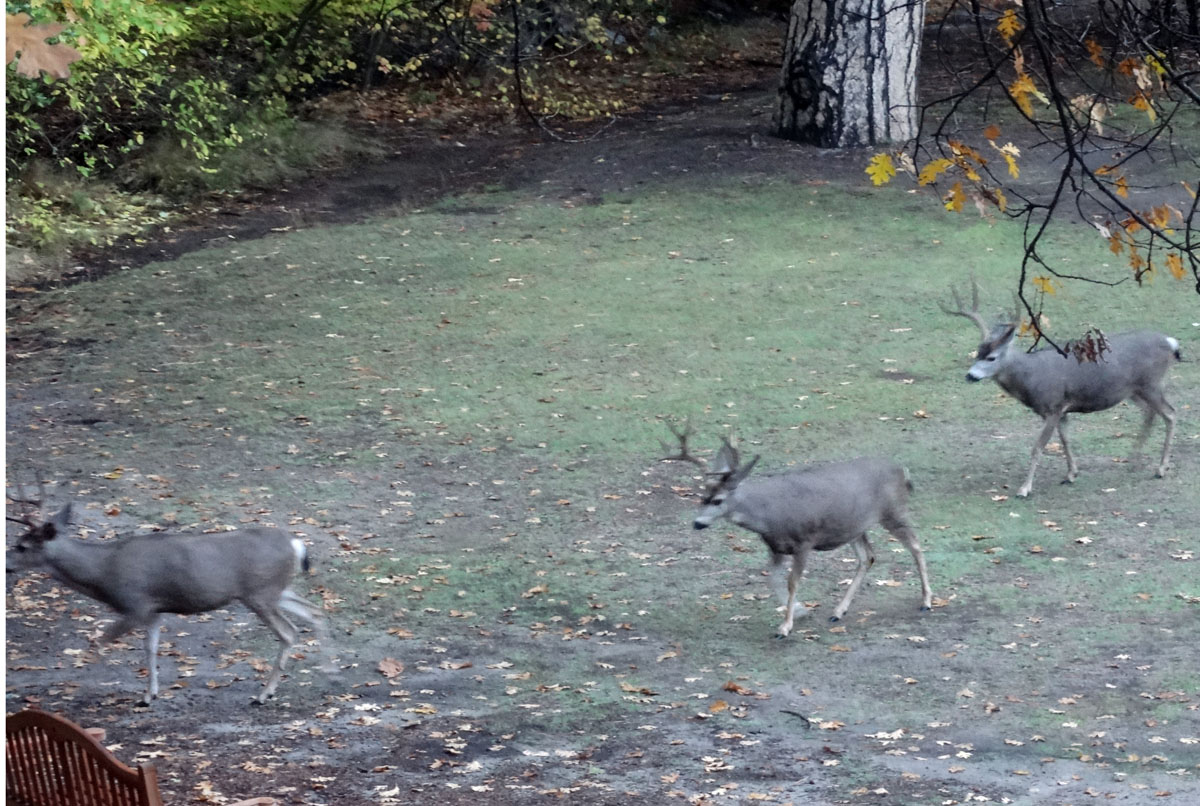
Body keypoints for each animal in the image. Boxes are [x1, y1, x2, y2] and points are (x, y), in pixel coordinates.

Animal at [6, 486, 330, 706]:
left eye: (22, 546)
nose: (6, 563)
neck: (102, 571)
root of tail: (296, 544)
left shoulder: (135, 604)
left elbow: (100, 643)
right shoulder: (154, 610)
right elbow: (150, 649)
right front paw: (149, 695)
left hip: (259, 593)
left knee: (289, 632)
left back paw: (264, 694)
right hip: (277, 590)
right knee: (315, 612)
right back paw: (329, 669)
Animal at [663, 423, 933, 638]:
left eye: (718, 500)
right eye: (701, 497)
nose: (697, 523)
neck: (769, 516)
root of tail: (902, 471)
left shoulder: (805, 541)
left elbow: (792, 581)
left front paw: (785, 627)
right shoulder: (774, 546)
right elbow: (772, 578)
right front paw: (801, 611)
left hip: (893, 511)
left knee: (915, 545)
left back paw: (926, 601)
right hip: (854, 527)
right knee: (868, 557)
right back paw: (838, 612)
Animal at [942, 281, 1181, 497]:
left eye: (991, 357)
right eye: (977, 353)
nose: (970, 376)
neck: (1031, 376)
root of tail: (1170, 342)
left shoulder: (1053, 405)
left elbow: (1038, 447)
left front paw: (1024, 489)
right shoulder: (1061, 410)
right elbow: (1065, 439)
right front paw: (1071, 474)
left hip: (1151, 383)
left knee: (1170, 413)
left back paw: (1160, 469)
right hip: (1133, 390)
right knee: (1150, 413)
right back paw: (1132, 460)